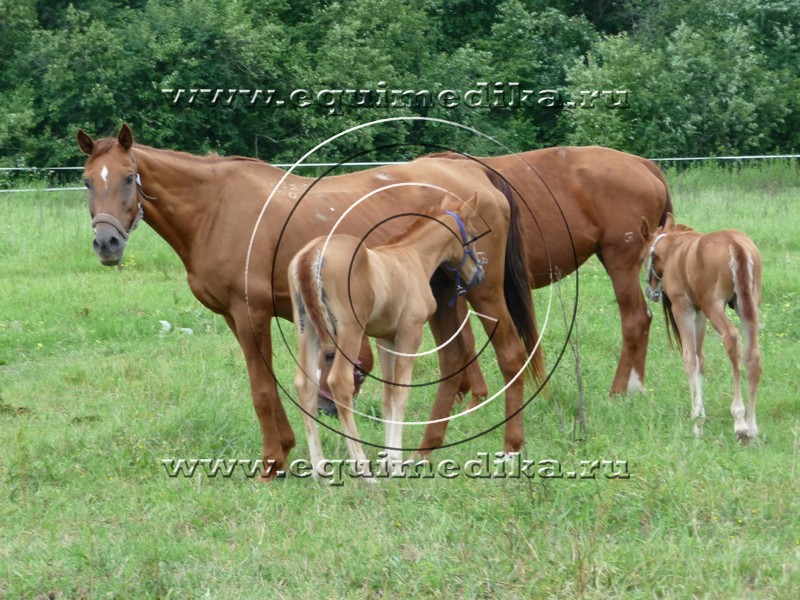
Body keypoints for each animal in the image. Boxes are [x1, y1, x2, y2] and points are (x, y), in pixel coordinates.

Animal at [290, 192, 484, 478]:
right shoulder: (410, 333)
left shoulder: (385, 339)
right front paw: (396, 463)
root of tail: (311, 255)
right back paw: (363, 472)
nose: (479, 273)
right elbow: (401, 394)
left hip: (308, 331)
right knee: (339, 383)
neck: (413, 258)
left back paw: (319, 471)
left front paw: (388, 460)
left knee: (305, 385)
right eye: (472, 235)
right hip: (349, 331)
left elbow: (388, 397)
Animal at [644, 216, 764, 440]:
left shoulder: (683, 308)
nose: (651, 291)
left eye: (643, 257)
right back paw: (752, 425)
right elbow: (700, 358)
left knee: (732, 339)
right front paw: (701, 414)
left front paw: (697, 421)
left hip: (714, 306)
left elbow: (690, 359)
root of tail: (735, 244)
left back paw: (740, 422)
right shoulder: (698, 313)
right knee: (753, 354)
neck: (675, 250)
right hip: (748, 306)